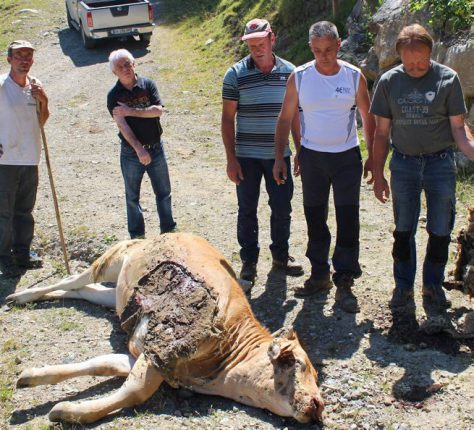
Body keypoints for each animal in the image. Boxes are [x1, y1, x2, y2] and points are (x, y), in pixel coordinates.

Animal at [7, 232, 324, 424]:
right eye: (299, 363)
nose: (318, 404)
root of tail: (173, 232)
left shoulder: (141, 355)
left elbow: (102, 365)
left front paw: (31, 377)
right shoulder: (160, 351)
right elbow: (136, 392)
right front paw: (67, 412)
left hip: (118, 294)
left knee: (84, 292)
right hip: (112, 259)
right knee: (73, 279)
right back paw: (19, 296)